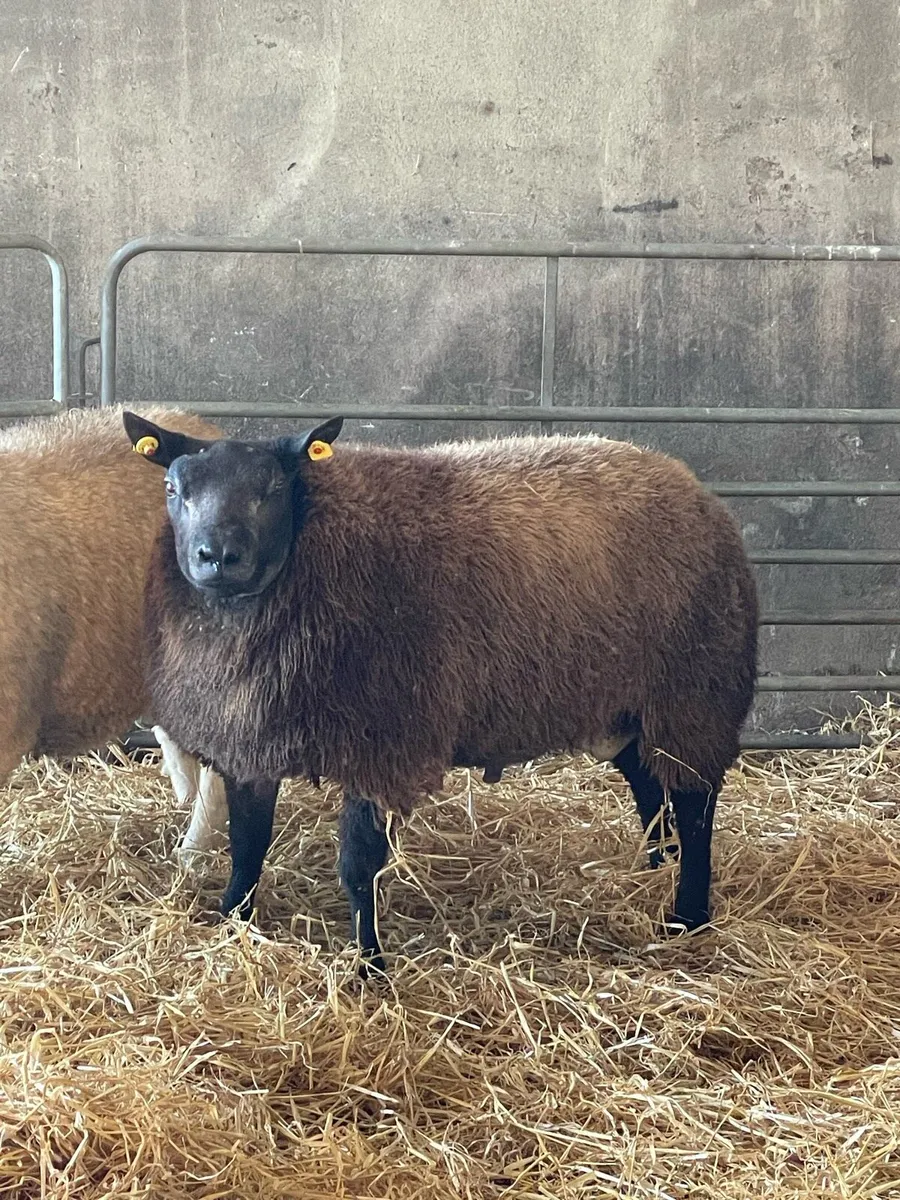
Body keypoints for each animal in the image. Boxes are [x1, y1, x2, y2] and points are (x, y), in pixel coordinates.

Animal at [124, 410, 759, 971]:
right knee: (650, 786)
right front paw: (232, 920)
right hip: (627, 707)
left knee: (696, 805)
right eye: (173, 487)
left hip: (695, 694)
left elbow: (359, 865)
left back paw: (687, 916)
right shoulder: (250, 737)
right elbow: (248, 843)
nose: (217, 557)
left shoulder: (382, 741)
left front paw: (369, 966)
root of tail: (690, 483)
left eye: (275, 487)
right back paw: (653, 870)